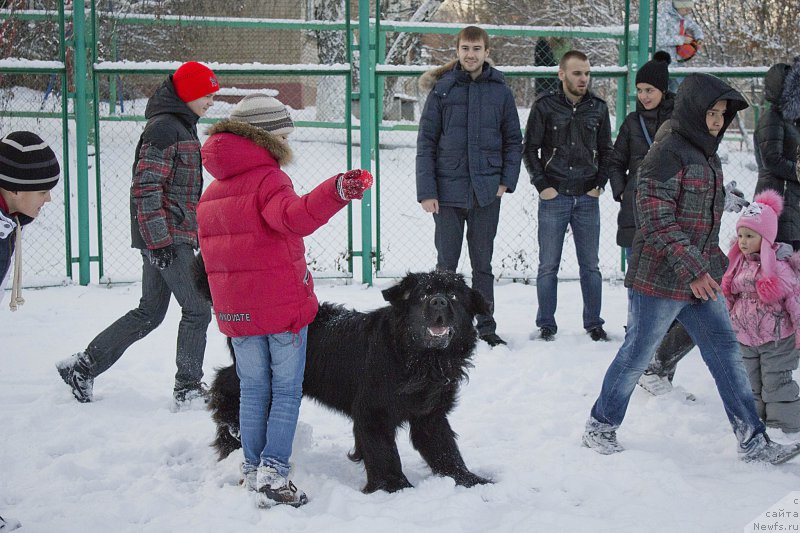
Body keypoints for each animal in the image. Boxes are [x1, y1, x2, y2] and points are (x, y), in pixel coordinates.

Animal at [197, 258, 494, 490]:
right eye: (422, 294)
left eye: (454, 295)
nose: (439, 301)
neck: (420, 360)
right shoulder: (373, 411)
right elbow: (384, 452)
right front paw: (396, 487)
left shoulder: (429, 413)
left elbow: (444, 449)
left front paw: (472, 480)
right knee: (226, 384)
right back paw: (229, 432)